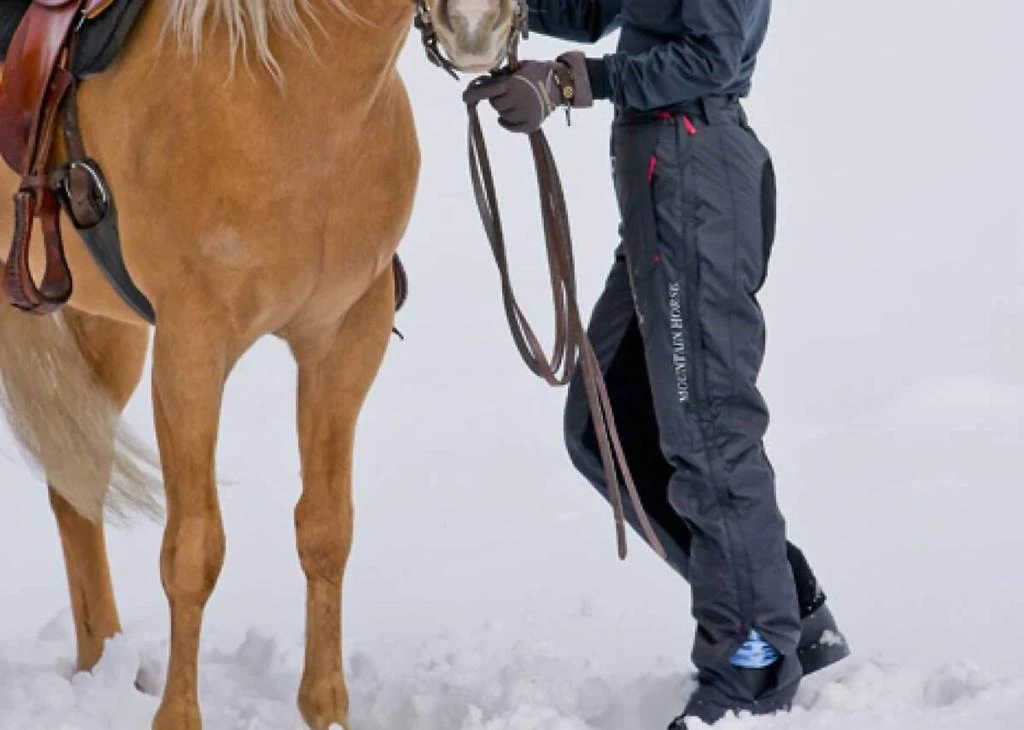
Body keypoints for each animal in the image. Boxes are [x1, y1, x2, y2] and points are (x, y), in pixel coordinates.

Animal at [0, 0, 516, 727]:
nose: (475, 25)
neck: (288, 89)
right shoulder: (191, 349)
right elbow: (193, 550)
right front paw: (178, 717)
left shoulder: (344, 339)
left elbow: (326, 529)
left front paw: (325, 707)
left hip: (105, 331)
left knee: (76, 485)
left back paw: (104, 665)